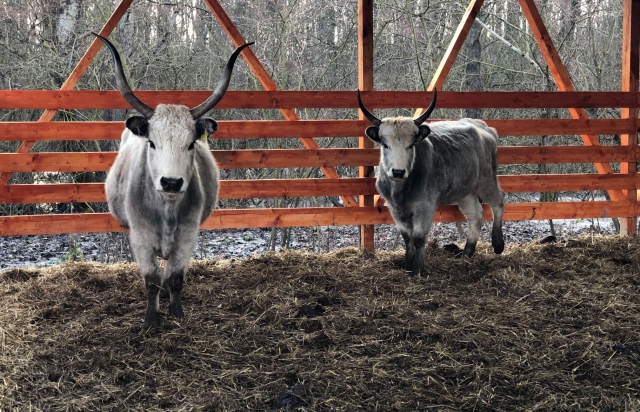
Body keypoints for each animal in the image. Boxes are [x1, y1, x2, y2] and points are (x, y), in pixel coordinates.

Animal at [95, 32, 252, 328]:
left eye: (191, 144)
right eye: (152, 143)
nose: (171, 182)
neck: (167, 207)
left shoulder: (187, 237)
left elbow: (175, 279)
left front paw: (176, 314)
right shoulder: (141, 238)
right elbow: (152, 281)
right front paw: (151, 321)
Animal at [358, 90, 502, 276]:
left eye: (411, 145)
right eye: (385, 144)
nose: (398, 172)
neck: (402, 190)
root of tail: (483, 126)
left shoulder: (425, 206)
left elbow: (419, 237)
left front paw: (418, 269)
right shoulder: (395, 208)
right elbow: (407, 237)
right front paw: (408, 265)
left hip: (487, 181)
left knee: (498, 201)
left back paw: (498, 244)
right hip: (465, 192)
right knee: (475, 215)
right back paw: (467, 252)